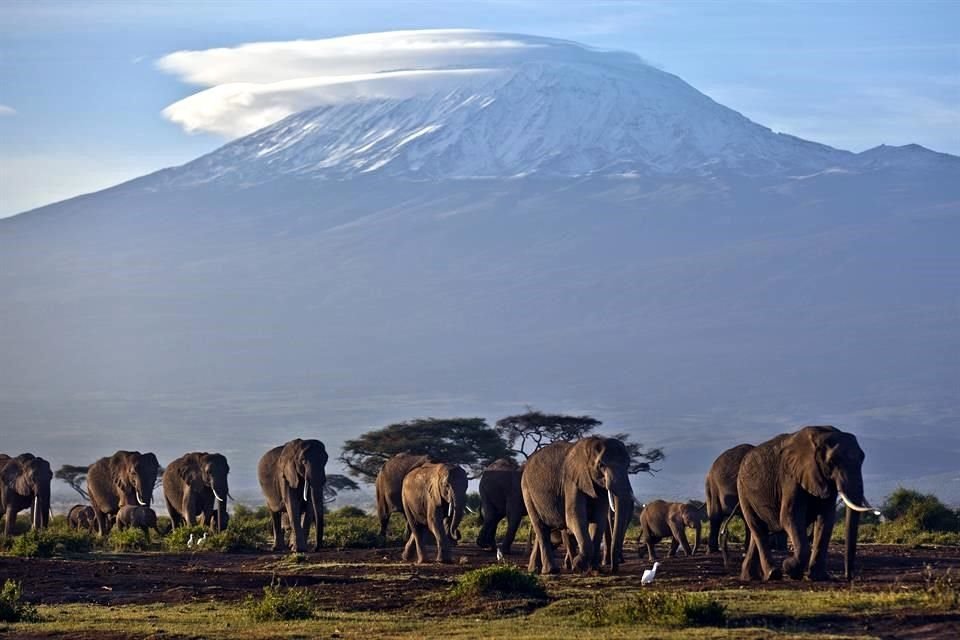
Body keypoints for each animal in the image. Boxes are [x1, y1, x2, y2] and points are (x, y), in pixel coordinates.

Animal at [520, 436, 632, 576]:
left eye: (628, 465)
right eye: (601, 465)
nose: (613, 570)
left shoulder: (598, 487)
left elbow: (598, 521)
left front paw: (595, 570)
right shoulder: (571, 481)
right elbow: (574, 518)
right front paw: (577, 565)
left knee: (544, 529)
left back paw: (534, 570)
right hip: (527, 492)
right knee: (540, 527)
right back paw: (551, 571)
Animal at [736, 424, 876, 580]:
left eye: (862, 459)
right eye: (832, 462)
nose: (848, 576)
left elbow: (826, 519)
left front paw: (818, 577)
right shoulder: (790, 477)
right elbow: (790, 517)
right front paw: (789, 568)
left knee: (759, 531)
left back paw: (749, 577)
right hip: (743, 491)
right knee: (758, 528)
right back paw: (773, 574)